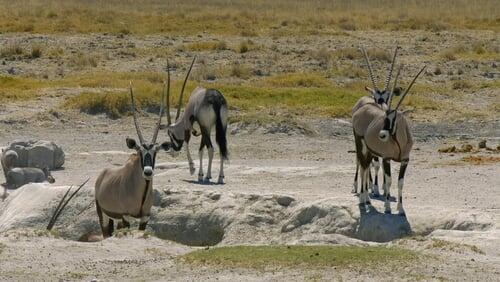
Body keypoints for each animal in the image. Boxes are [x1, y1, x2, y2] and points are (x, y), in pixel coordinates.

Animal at [94, 82, 170, 238]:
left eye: (155, 152)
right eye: (139, 152)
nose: (148, 172)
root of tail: (102, 175)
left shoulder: (145, 217)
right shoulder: (126, 216)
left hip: (115, 218)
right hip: (103, 214)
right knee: (105, 233)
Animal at [165, 57, 229, 185]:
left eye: (171, 134)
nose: (173, 153)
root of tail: (216, 99)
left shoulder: (193, 126)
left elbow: (188, 144)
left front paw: (194, 170)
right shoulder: (206, 130)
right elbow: (201, 149)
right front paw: (202, 174)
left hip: (206, 128)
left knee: (211, 149)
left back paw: (206, 176)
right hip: (222, 127)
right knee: (221, 149)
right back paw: (220, 177)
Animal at [352, 46, 402, 196]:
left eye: (388, 97)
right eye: (376, 96)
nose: (383, 106)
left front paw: (384, 187)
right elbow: (376, 164)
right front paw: (374, 187)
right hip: (358, 140)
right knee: (360, 160)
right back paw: (358, 185)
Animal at [352, 63, 426, 214]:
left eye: (395, 118)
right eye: (384, 117)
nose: (382, 135)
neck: (399, 143)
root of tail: (361, 109)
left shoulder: (405, 160)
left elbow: (400, 182)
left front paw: (401, 209)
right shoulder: (386, 158)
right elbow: (388, 181)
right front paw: (387, 207)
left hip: (369, 151)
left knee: (366, 167)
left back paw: (367, 199)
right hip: (360, 146)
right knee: (362, 166)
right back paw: (362, 199)